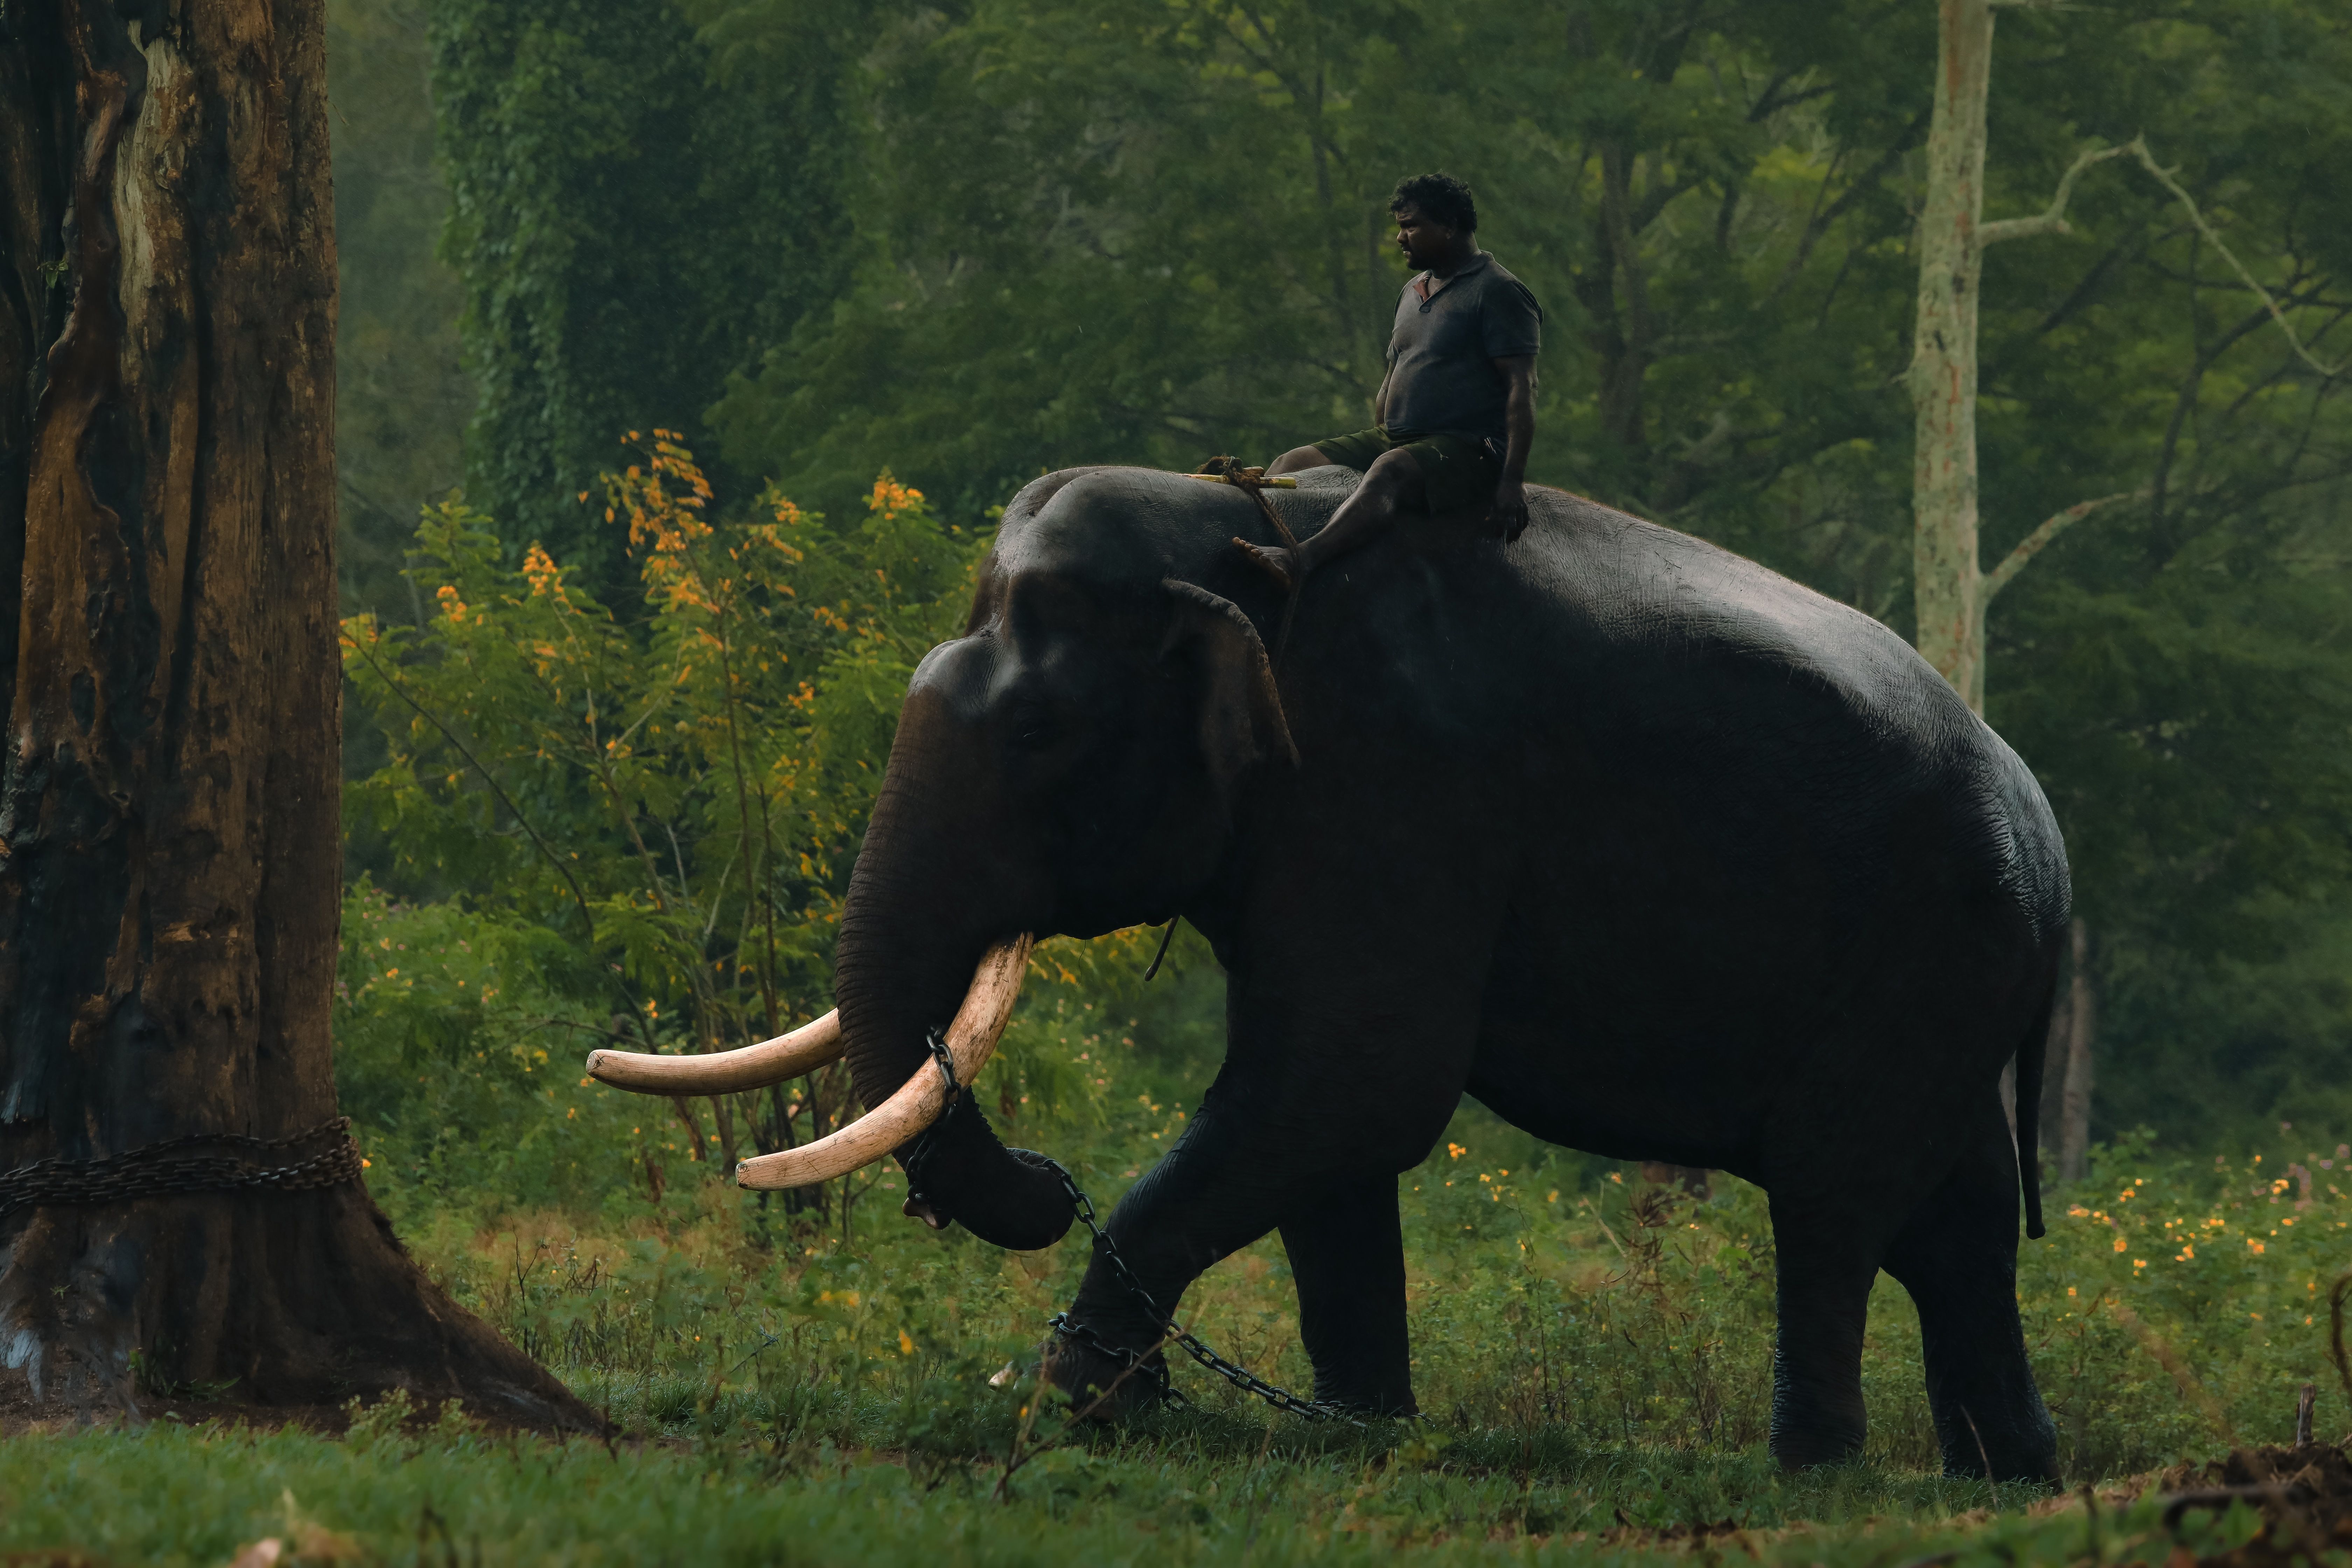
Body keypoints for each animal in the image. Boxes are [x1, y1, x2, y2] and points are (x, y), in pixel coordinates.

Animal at [589, 464, 2068, 1481]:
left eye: (1038, 731)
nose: (1049, 1181)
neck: (1239, 535)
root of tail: (2046, 836)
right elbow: (1327, 1130)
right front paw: (1359, 1429)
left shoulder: (1395, 781)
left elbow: (1349, 1083)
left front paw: (1077, 1401)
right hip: (1955, 975)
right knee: (1957, 1221)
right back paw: (2003, 1474)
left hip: (1927, 953)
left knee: (1832, 1198)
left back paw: (1812, 1466)